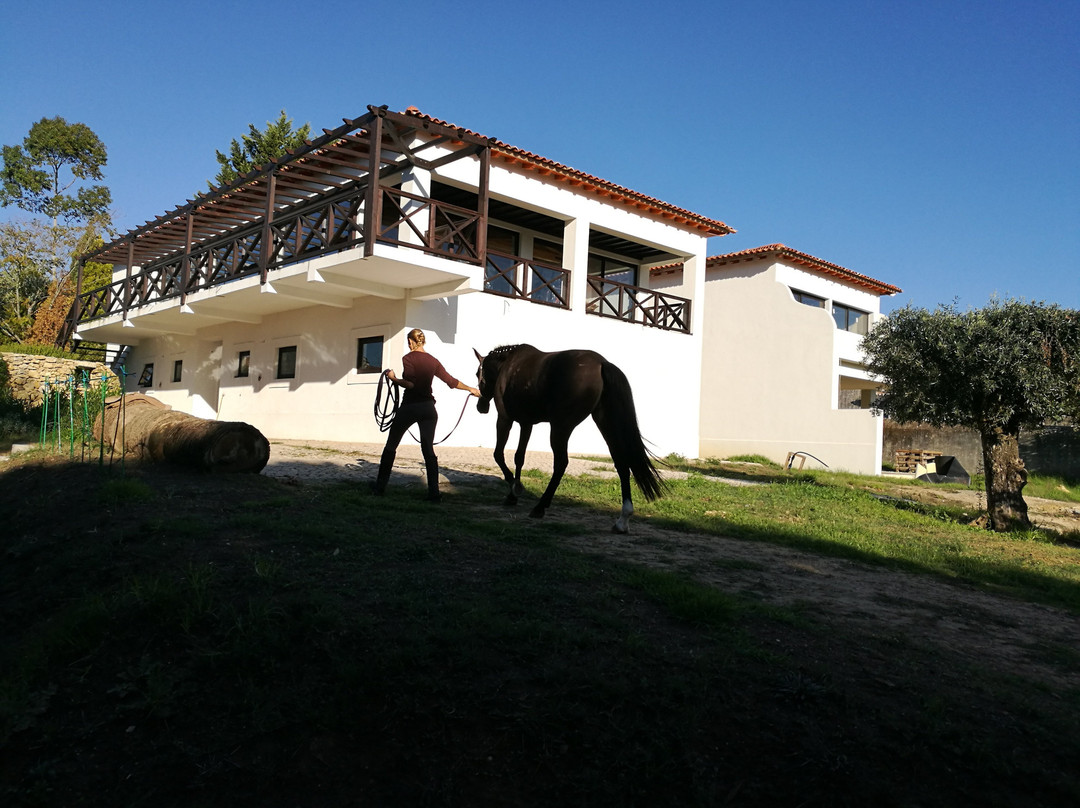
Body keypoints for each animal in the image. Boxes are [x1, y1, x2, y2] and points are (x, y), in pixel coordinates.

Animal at [473, 344, 665, 533]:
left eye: (477, 373)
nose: (481, 406)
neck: (509, 365)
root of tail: (602, 363)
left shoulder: (505, 419)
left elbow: (498, 454)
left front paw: (515, 489)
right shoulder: (526, 423)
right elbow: (519, 457)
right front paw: (513, 494)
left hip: (561, 427)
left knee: (561, 463)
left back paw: (540, 507)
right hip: (605, 423)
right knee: (621, 464)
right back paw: (622, 520)